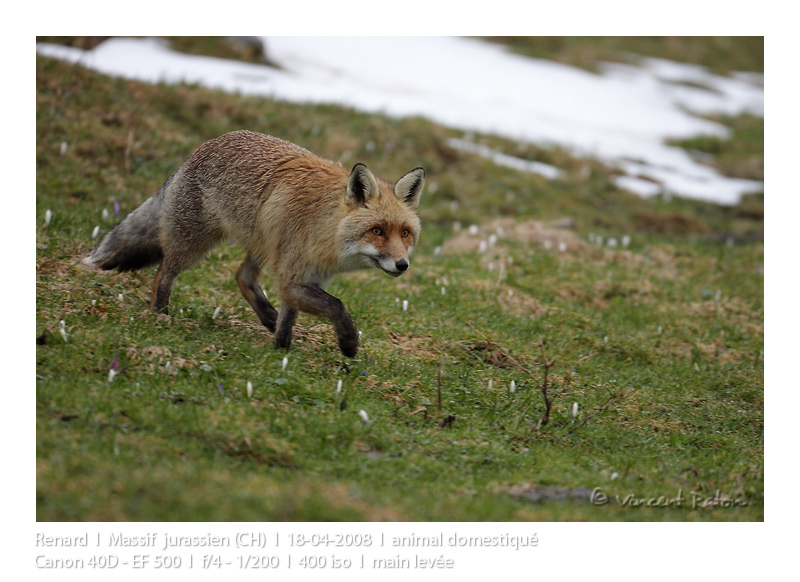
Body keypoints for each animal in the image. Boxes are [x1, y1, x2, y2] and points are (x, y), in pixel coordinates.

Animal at [84, 130, 425, 357]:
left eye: (405, 233)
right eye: (377, 231)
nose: (402, 265)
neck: (326, 229)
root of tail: (204, 147)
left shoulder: (303, 276)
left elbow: (290, 316)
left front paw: (280, 349)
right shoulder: (292, 276)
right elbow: (337, 306)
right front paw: (348, 342)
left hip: (263, 245)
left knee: (243, 277)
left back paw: (267, 317)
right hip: (193, 244)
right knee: (163, 274)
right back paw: (159, 315)